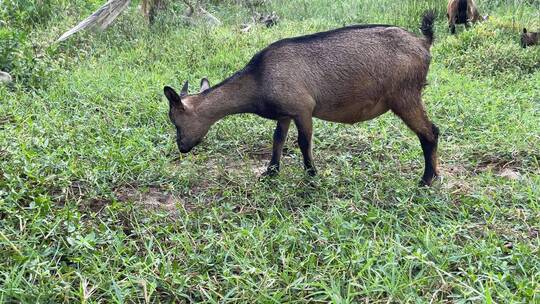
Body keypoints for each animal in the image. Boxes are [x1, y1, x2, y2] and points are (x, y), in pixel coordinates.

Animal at [163, 11, 438, 185]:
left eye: (175, 121)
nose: (182, 147)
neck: (258, 79)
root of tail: (423, 43)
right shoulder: (284, 113)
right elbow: (277, 140)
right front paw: (271, 172)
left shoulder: (303, 108)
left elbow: (303, 142)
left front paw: (312, 175)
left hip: (404, 95)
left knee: (430, 132)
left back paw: (426, 180)